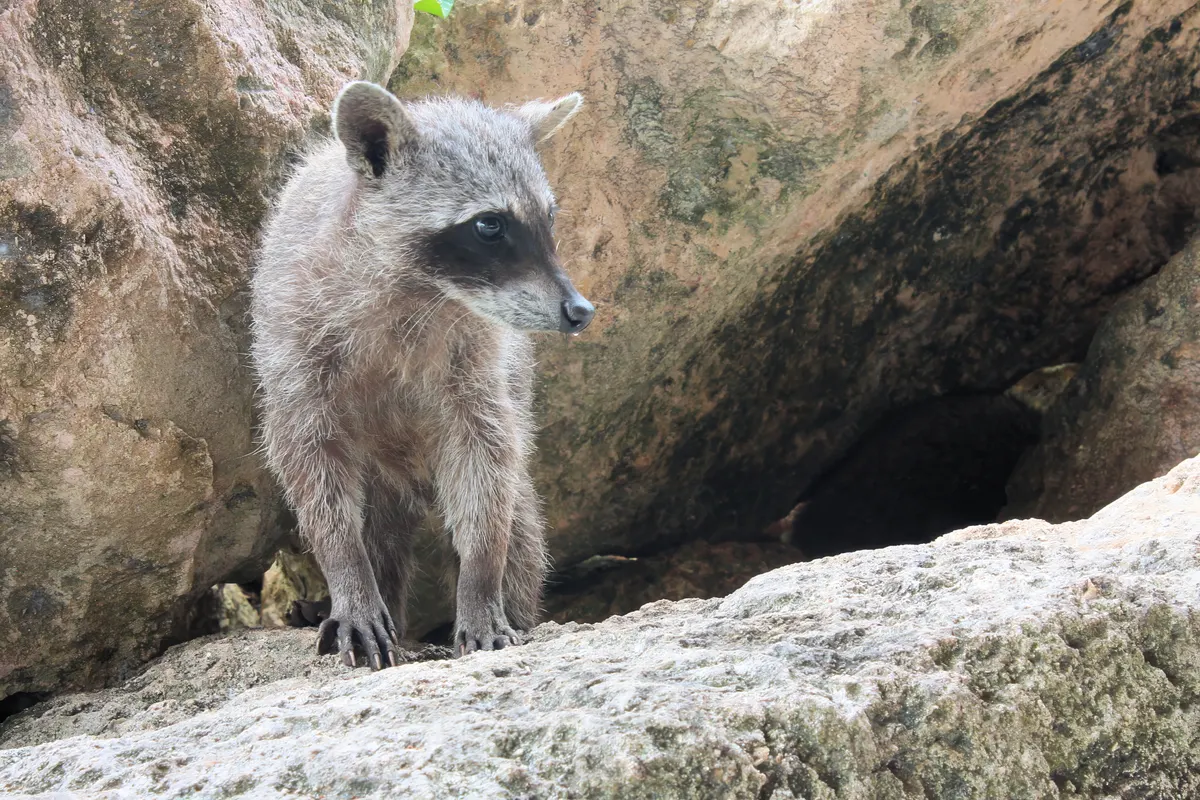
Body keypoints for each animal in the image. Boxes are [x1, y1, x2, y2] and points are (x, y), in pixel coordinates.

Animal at [250, 81, 592, 667]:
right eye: (489, 225)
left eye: (549, 219)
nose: (581, 310)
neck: (422, 289)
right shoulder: (296, 342)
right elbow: (310, 463)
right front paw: (348, 575)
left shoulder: (479, 358)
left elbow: (487, 462)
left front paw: (480, 582)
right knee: (378, 529)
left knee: (519, 520)